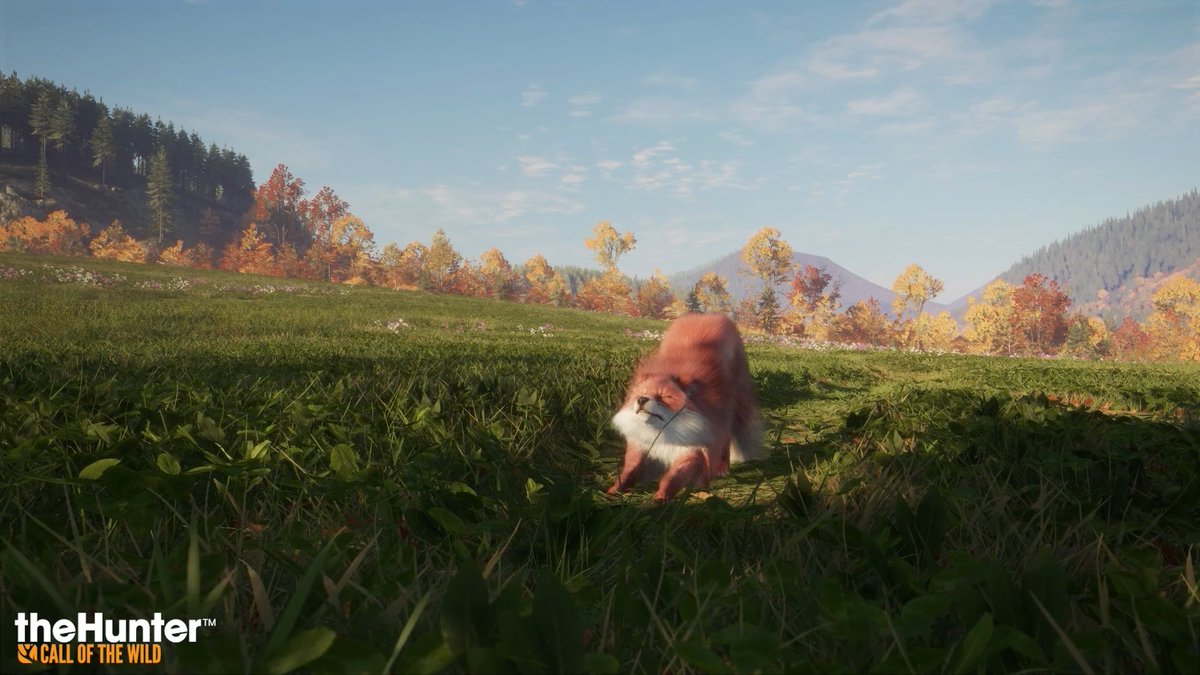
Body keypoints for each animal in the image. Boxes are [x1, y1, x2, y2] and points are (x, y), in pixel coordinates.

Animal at [608, 312, 763, 501]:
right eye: (641, 394)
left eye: (664, 397)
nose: (642, 400)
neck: (663, 434)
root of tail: (708, 315)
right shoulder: (641, 446)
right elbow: (628, 473)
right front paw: (614, 491)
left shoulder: (691, 450)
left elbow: (671, 478)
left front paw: (662, 498)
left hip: (727, 415)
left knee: (725, 440)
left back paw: (722, 469)